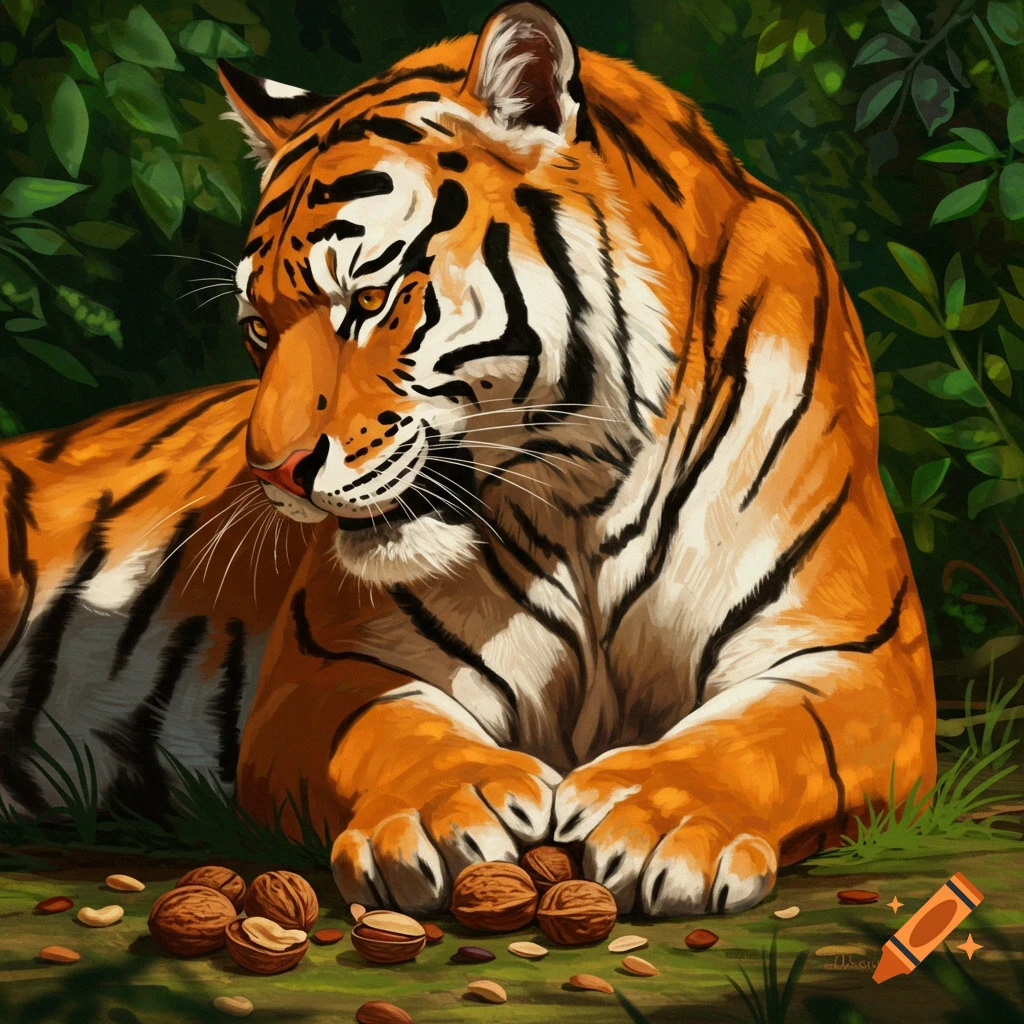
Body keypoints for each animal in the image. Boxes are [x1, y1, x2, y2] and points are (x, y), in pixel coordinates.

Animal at [0, 1, 935, 917]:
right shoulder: (328, 665)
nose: (269, 473)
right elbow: (386, 729)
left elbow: (763, 737)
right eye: (259, 328)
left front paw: (658, 814)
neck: (584, 489)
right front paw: (446, 806)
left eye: (369, 299)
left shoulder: (855, 658)